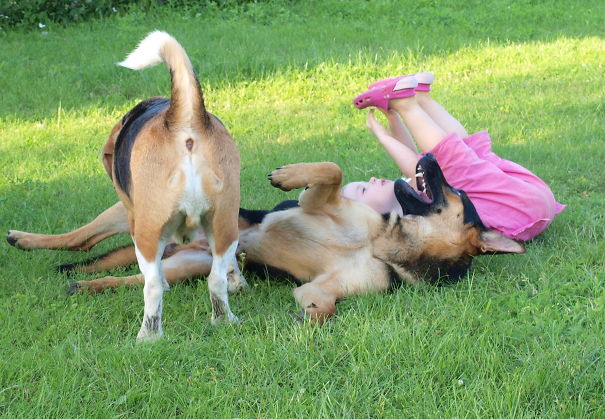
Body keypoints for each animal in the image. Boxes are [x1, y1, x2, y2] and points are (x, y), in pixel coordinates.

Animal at [5, 154, 524, 324]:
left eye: (457, 191)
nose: (430, 156)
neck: (386, 244)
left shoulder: (322, 287)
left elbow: (323, 305)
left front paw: (308, 321)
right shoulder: (319, 202)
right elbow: (331, 170)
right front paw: (287, 176)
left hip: (183, 265)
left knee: (136, 279)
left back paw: (83, 284)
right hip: (133, 214)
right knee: (79, 238)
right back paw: (23, 239)